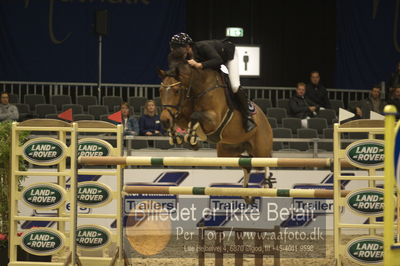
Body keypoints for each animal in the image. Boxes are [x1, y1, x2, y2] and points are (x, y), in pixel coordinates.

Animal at [158, 59, 274, 202]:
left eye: (176, 91)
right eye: (160, 91)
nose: (164, 120)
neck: (198, 88)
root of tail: (265, 119)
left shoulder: (213, 120)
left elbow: (195, 116)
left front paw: (192, 139)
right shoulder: (183, 114)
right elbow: (183, 118)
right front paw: (177, 136)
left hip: (260, 149)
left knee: (265, 162)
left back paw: (267, 184)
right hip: (226, 151)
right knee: (247, 165)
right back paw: (247, 194)